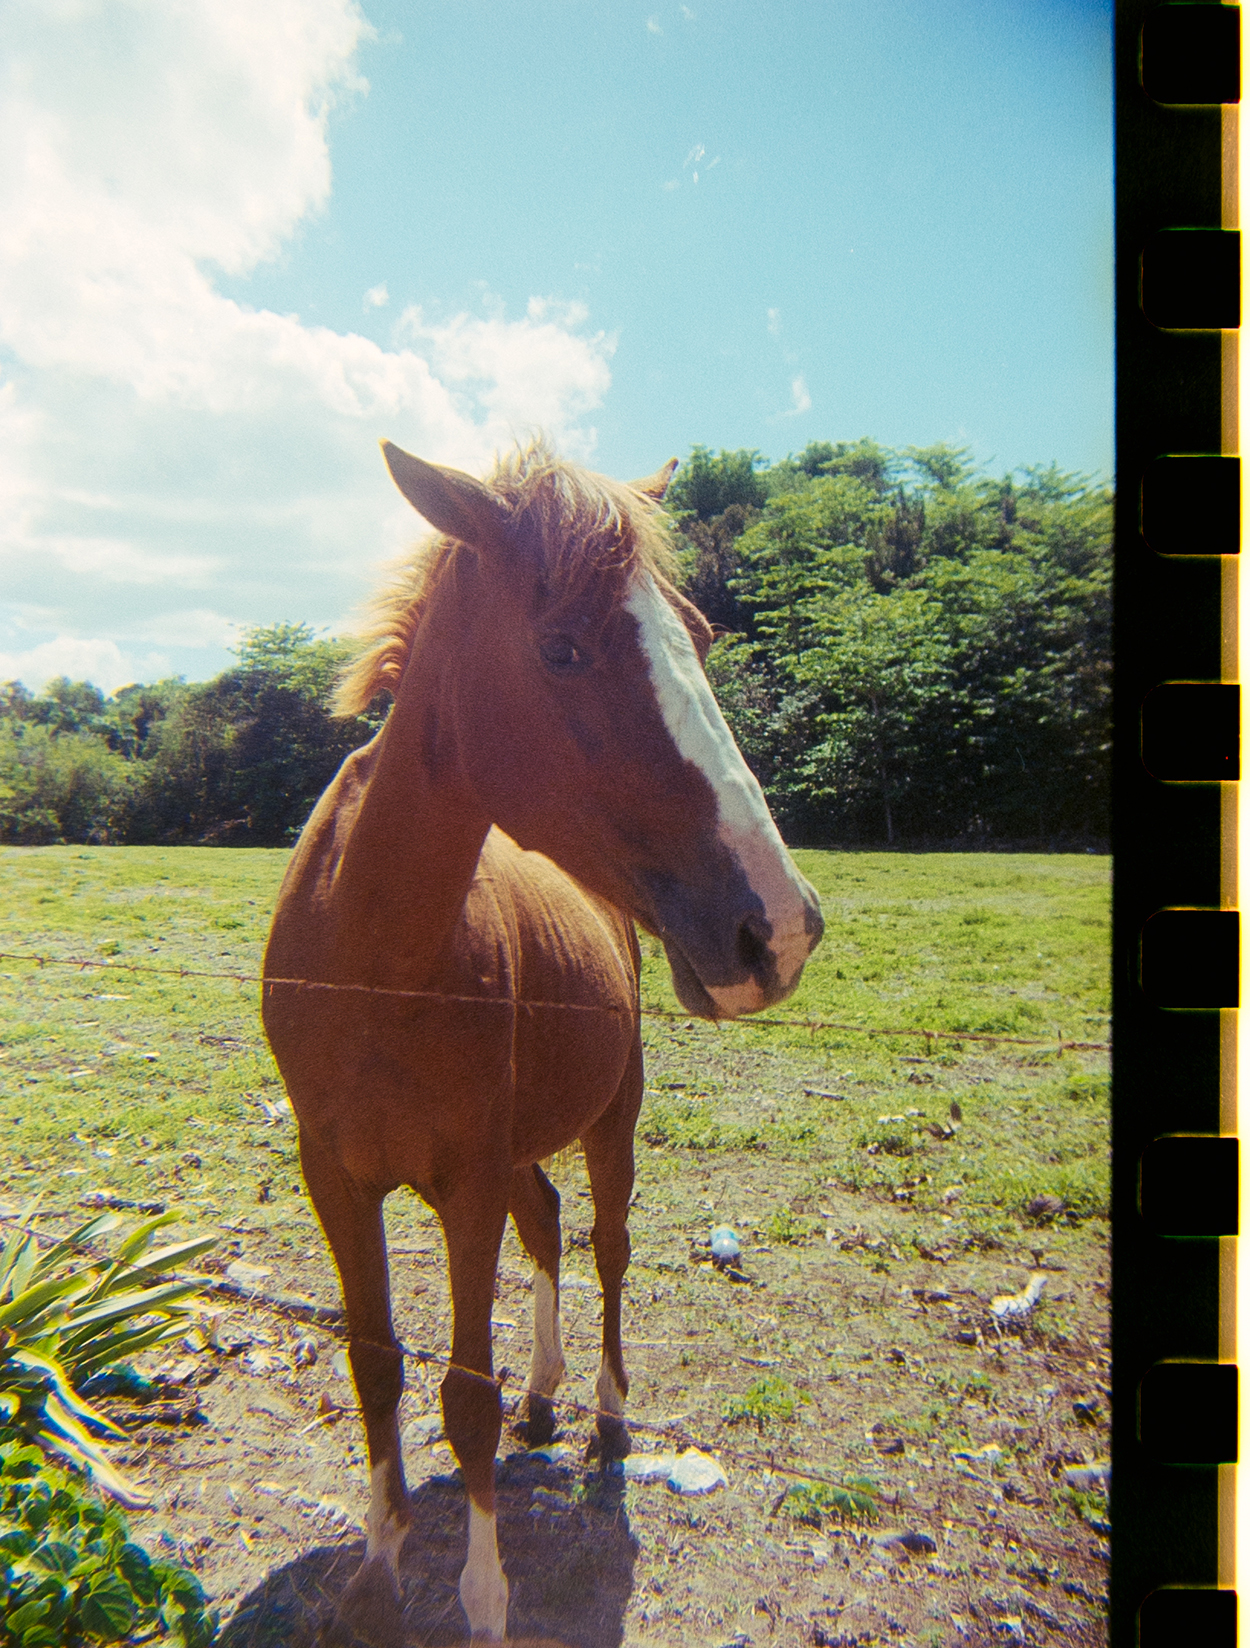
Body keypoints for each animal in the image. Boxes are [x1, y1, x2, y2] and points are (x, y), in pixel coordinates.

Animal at [261, 437, 824, 1642]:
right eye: (559, 646)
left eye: (700, 637)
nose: (779, 926)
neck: (372, 952)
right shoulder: (336, 1175)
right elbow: (375, 1363)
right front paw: (378, 1567)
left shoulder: (466, 1179)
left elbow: (460, 1394)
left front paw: (482, 1595)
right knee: (553, 1225)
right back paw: (546, 1392)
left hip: (610, 1118)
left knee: (604, 1242)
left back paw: (603, 1413)